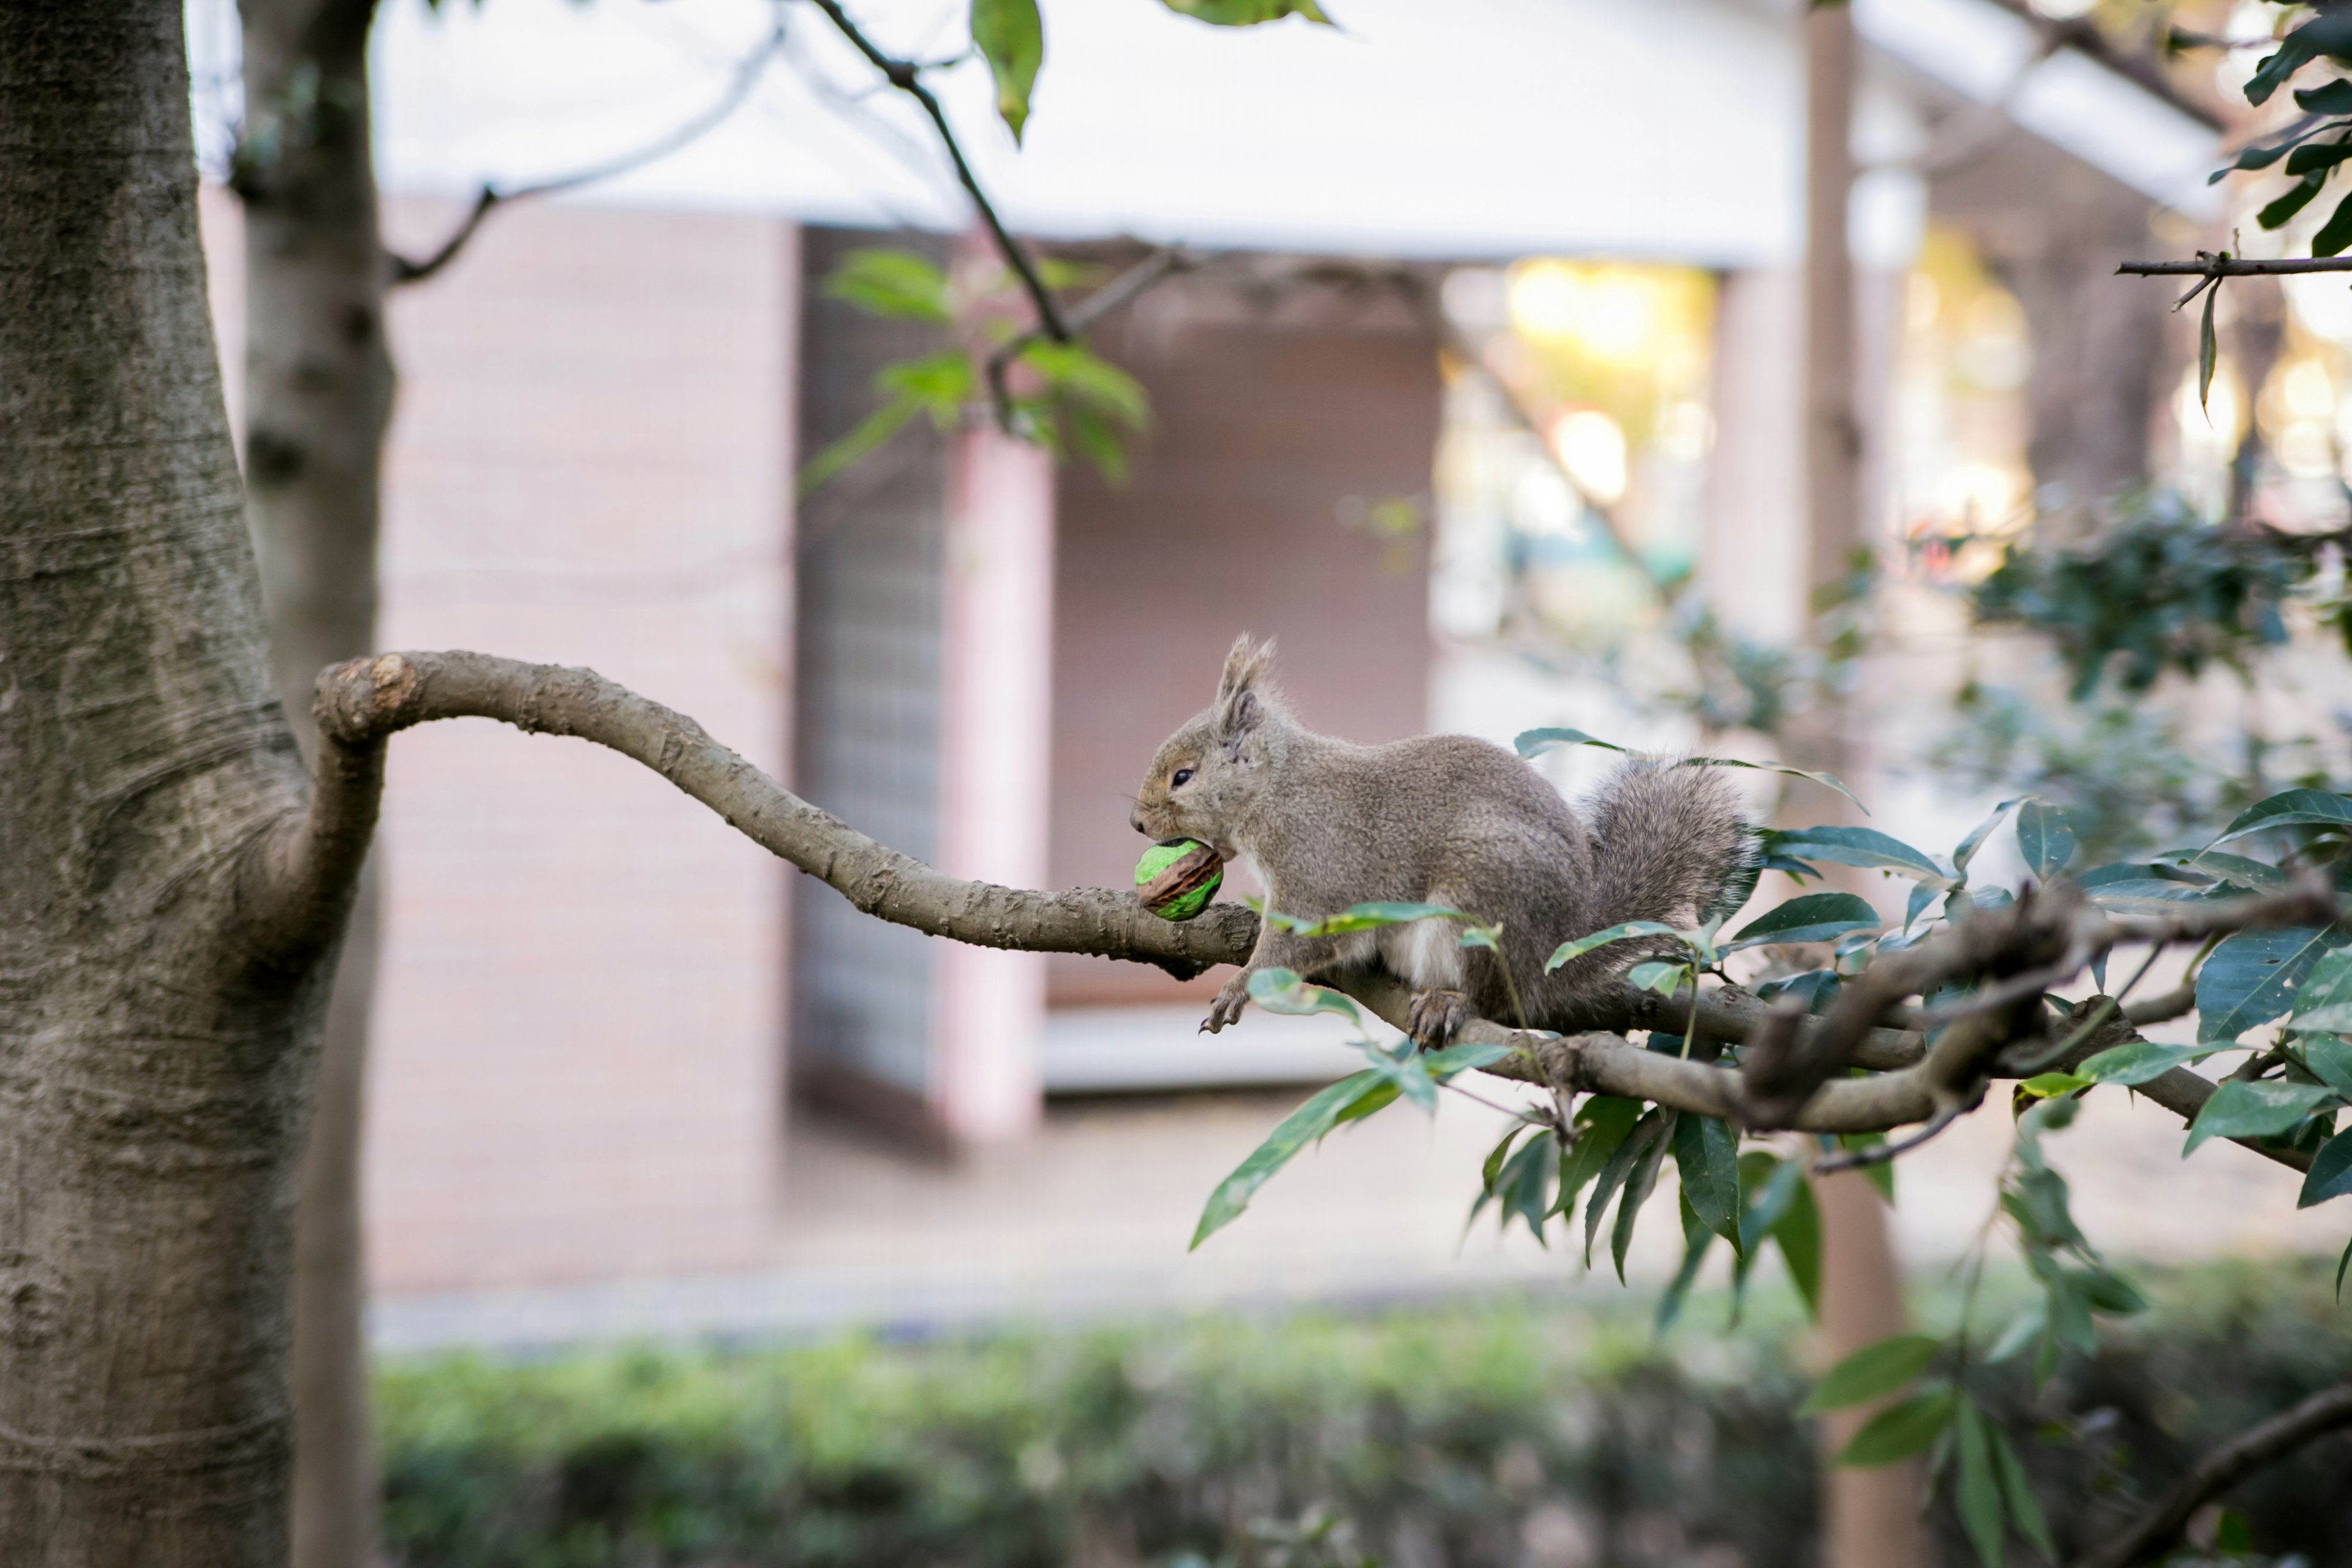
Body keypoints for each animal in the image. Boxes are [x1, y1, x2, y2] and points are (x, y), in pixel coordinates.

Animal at [1129, 630, 1759, 1048]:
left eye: (1183, 777)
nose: (1137, 822)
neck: (1275, 788)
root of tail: (1551, 955)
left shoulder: (1317, 865)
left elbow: (1296, 940)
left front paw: (1239, 987)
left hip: (1478, 901)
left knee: (1494, 1001)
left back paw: (1448, 1002)